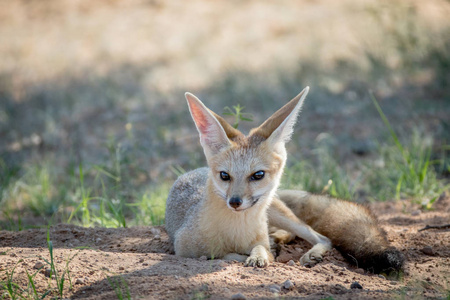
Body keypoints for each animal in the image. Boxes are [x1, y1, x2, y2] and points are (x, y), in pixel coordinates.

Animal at [164, 88, 404, 274]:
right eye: (225, 175)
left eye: (257, 175)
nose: (234, 202)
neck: (237, 231)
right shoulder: (184, 250)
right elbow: (224, 255)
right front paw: (252, 254)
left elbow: (260, 250)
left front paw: (260, 255)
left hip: (282, 214)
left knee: (322, 238)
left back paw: (305, 252)